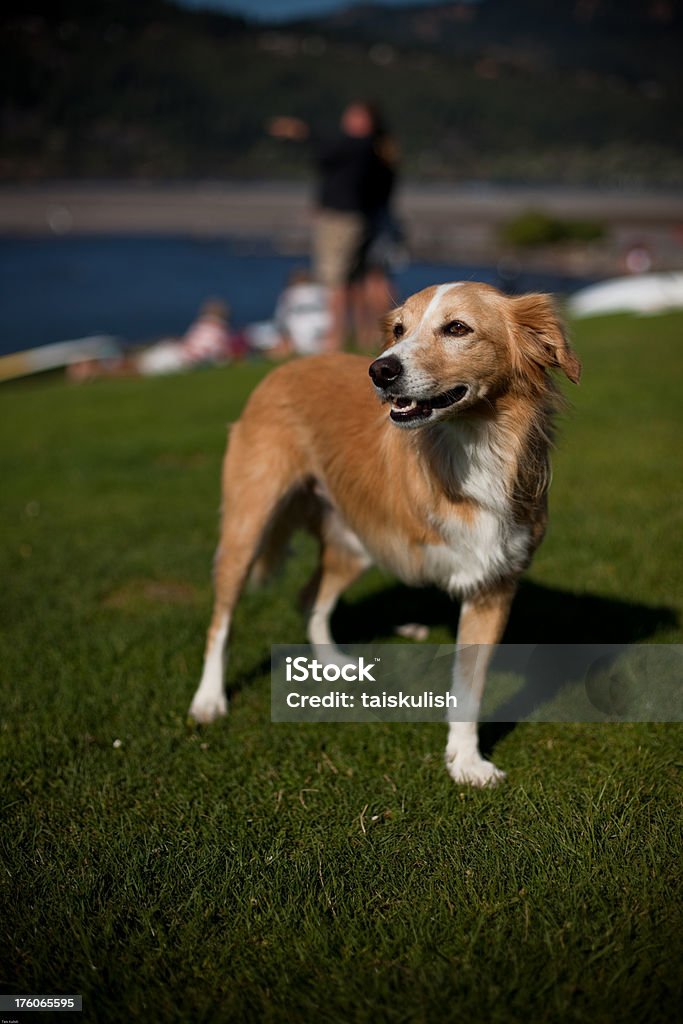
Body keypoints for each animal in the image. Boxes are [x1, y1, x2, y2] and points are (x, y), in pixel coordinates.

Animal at [189, 284, 581, 786]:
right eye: (398, 330)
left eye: (458, 328)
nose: (379, 370)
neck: (473, 448)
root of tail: (286, 366)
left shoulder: (492, 586)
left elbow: (469, 684)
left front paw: (465, 761)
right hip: (248, 526)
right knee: (222, 619)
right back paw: (209, 699)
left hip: (357, 541)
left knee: (311, 596)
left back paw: (333, 661)